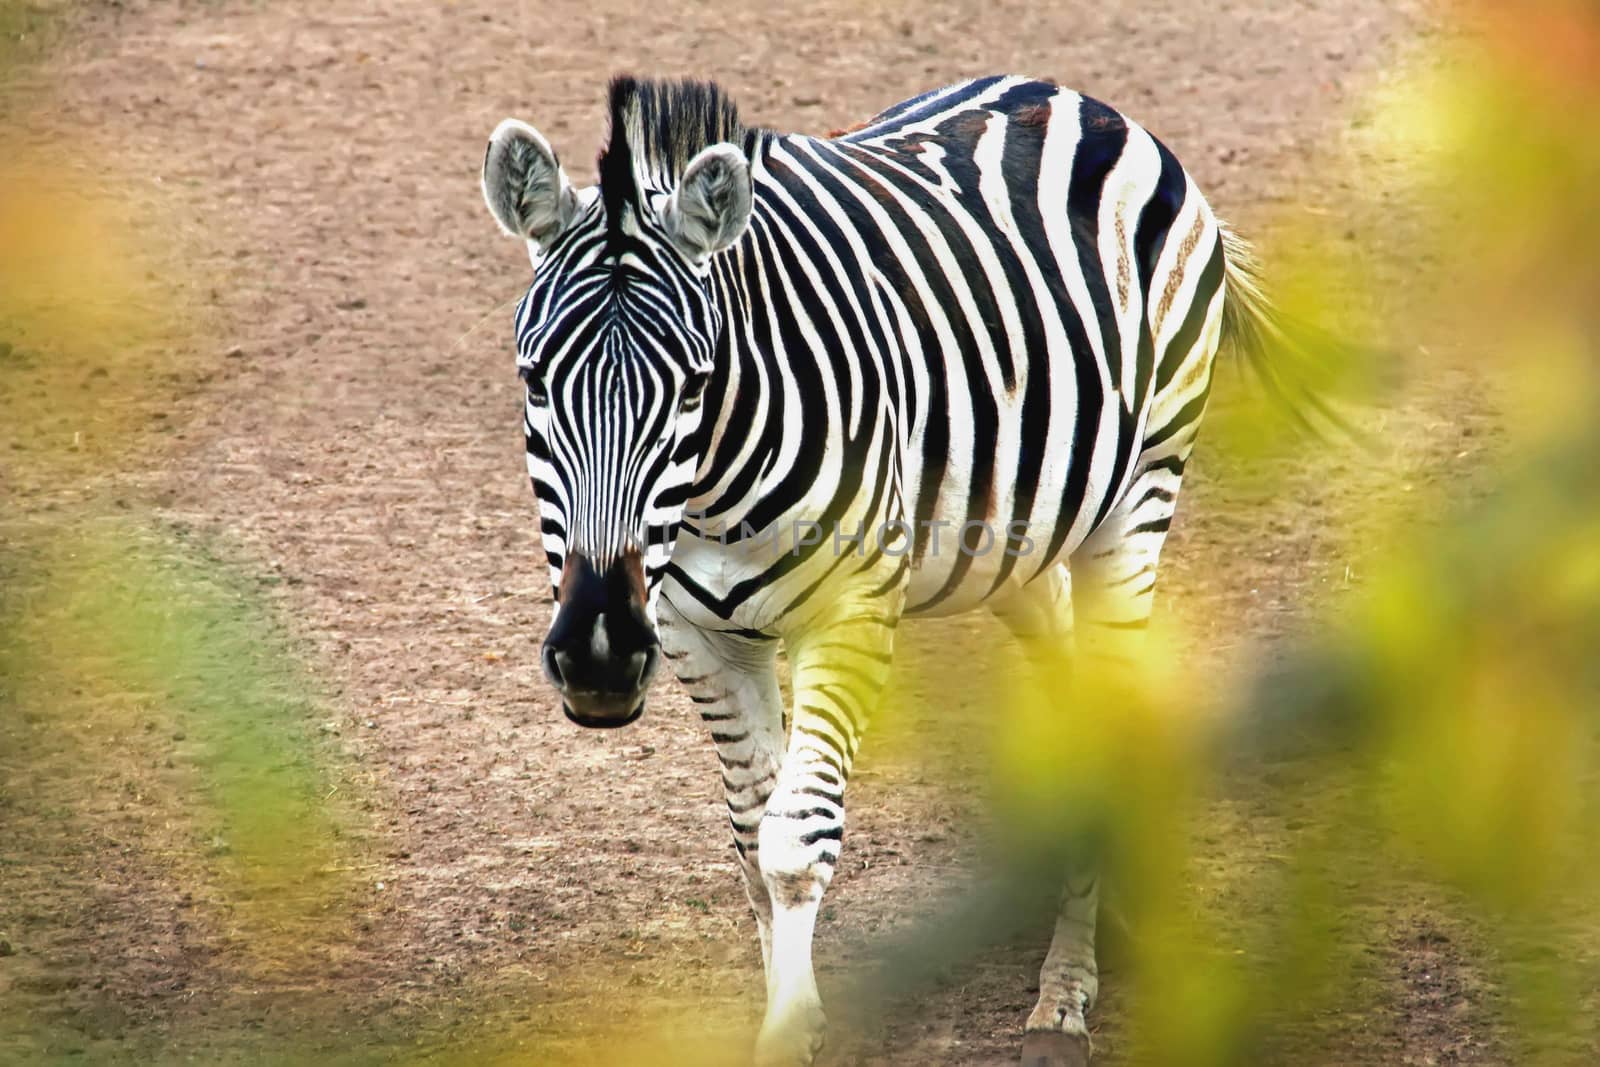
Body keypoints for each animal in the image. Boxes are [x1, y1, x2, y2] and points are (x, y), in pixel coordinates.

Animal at [476, 75, 1286, 1067]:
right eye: (535, 381)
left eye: (695, 385)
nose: (597, 656)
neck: (711, 492)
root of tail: (1072, 97)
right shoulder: (696, 632)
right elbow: (751, 836)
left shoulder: (852, 614)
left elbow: (794, 843)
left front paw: (789, 1034)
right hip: (1007, 533)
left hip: (1136, 501)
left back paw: (1061, 1000)